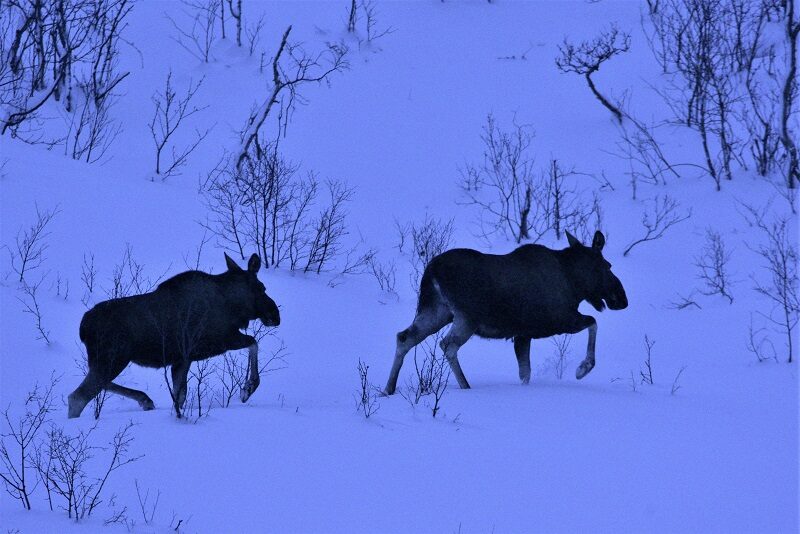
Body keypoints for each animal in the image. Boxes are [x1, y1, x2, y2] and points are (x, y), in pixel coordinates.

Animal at [69, 253, 282, 420]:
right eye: (262, 287)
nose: (275, 314)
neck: (234, 307)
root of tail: (83, 327)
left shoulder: (182, 359)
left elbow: (179, 397)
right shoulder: (223, 339)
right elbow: (254, 342)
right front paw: (248, 388)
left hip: (107, 360)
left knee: (97, 386)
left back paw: (145, 400)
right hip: (112, 357)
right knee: (78, 397)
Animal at [384, 232, 628, 396]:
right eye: (608, 265)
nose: (622, 299)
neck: (575, 285)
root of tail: (431, 272)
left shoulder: (523, 334)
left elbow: (525, 372)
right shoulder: (560, 320)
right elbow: (593, 322)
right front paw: (582, 368)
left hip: (437, 311)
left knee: (404, 337)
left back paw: (388, 388)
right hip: (466, 317)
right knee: (448, 345)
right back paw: (465, 386)